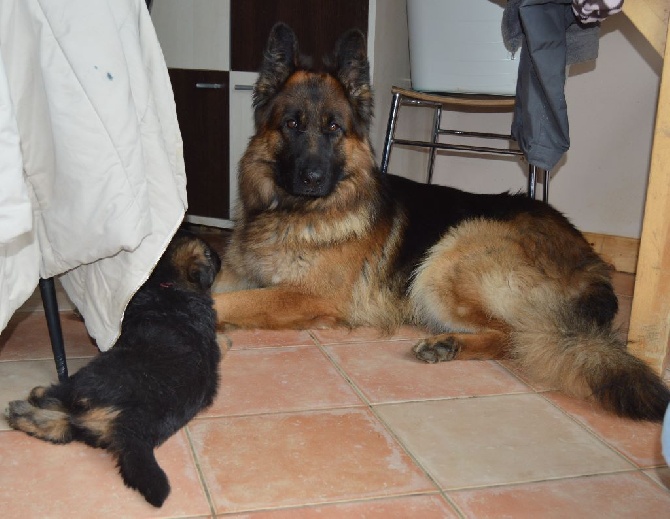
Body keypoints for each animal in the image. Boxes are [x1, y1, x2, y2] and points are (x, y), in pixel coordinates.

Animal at [5, 231, 223, 508]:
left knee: (58, 398)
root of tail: (134, 423)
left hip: (91, 376)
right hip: (90, 424)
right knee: (60, 429)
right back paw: (21, 415)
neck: (173, 285)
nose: (221, 258)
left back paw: (32, 398)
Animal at [215, 23, 670, 422]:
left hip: (447, 257)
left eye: (333, 128)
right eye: (291, 124)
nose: (312, 178)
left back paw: (449, 343)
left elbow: (230, 302)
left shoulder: (307, 297)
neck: (294, 213)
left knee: (515, 336)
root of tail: (589, 261)